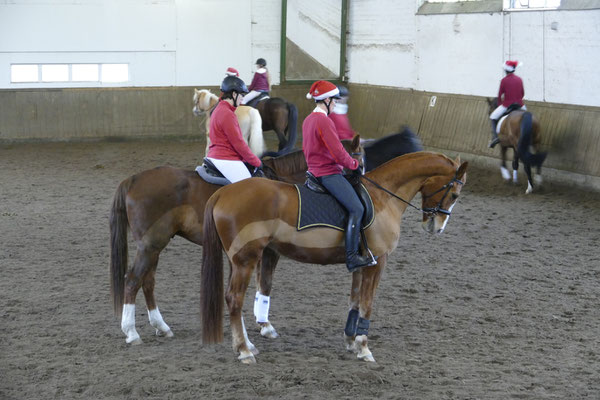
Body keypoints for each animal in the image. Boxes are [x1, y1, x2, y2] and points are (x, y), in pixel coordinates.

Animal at [199, 152, 466, 364]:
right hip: (246, 259)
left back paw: (247, 345)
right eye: (454, 194)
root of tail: (224, 192)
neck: (383, 197)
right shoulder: (378, 262)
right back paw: (244, 351)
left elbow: (355, 302)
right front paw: (364, 347)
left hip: (238, 260)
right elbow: (367, 304)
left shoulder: (361, 264)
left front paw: (351, 340)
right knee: (234, 299)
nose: (436, 227)